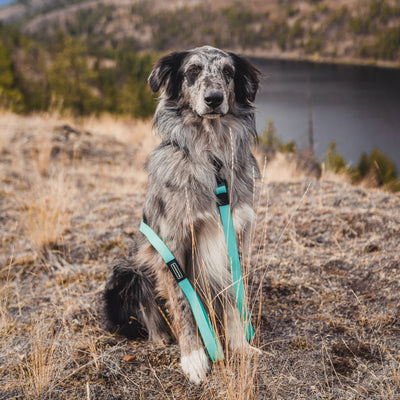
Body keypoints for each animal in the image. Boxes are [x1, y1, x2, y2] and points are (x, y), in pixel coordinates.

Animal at [103, 45, 260, 382]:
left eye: (228, 72)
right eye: (193, 71)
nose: (214, 98)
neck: (212, 159)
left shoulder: (234, 235)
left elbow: (233, 296)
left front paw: (240, 346)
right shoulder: (172, 244)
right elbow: (182, 303)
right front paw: (194, 357)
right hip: (126, 273)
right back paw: (163, 338)